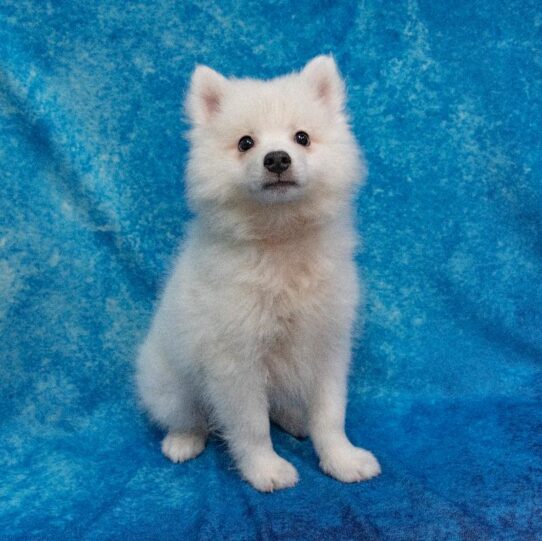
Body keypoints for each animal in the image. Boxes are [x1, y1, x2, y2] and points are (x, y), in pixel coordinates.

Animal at [136, 57, 382, 492]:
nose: (277, 159)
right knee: (191, 417)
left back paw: (296, 421)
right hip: (170, 384)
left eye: (302, 137)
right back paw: (183, 441)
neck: (279, 240)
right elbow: (251, 426)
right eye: (245, 143)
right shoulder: (236, 360)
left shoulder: (327, 346)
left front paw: (342, 459)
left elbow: (330, 415)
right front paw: (266, 469)